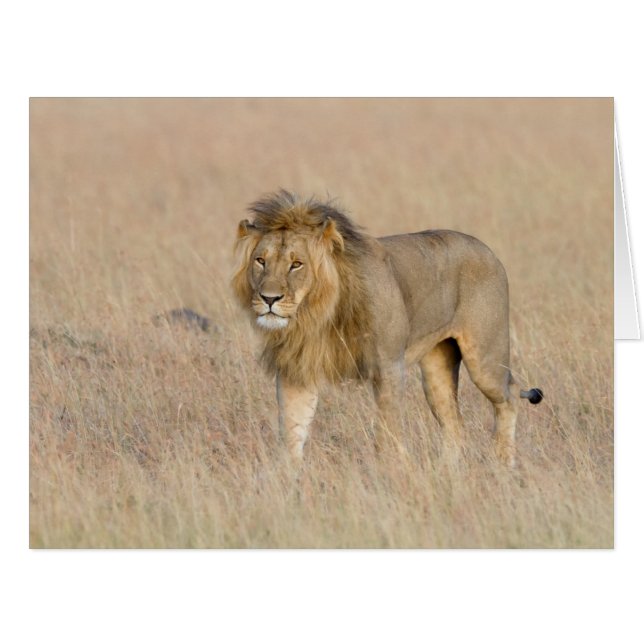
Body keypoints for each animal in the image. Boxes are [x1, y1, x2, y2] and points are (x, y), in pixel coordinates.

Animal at [232, 190, 542, 467]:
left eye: (296, 264)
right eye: (261, 261)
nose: (269, 299)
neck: (316, 314)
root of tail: (486, 249)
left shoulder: (389, 366)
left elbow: (387, 432)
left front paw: (391, 471)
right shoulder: (296, 369)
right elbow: (292, 432)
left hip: (485, 358)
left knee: (510, 395)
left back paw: (503, 463)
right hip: (437, 369)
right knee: (455, 425)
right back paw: (448, 471)